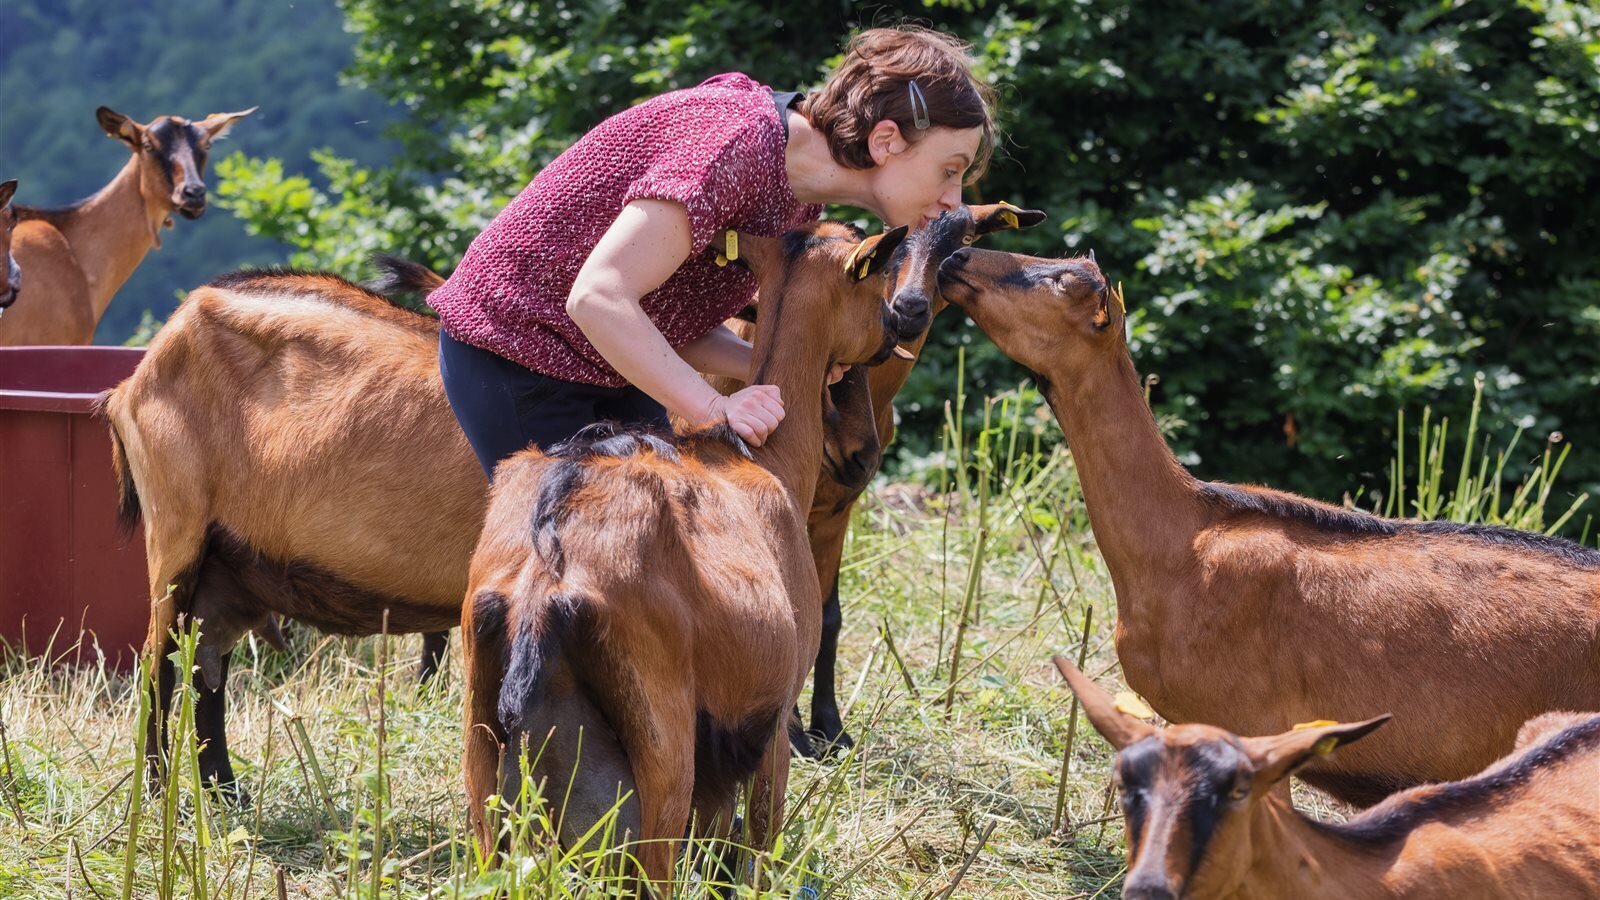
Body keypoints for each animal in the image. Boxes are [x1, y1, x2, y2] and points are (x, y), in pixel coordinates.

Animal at [457, 219, 921, 883]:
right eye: (879, 273)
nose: (896, 325)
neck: (766, 459)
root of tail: (547, 567)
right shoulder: (773, 717)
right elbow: (761, 846)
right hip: (665, 744)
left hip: (481, 731)